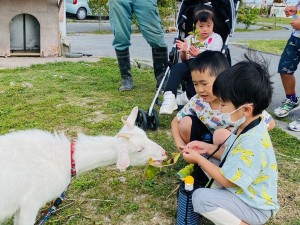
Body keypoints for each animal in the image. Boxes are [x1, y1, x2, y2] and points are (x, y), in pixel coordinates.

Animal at [0, 106, 166, 224]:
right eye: (139, 149)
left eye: (146, 136)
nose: (164, 153)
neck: (67, 158)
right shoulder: (31, 202)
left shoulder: (21, 207)